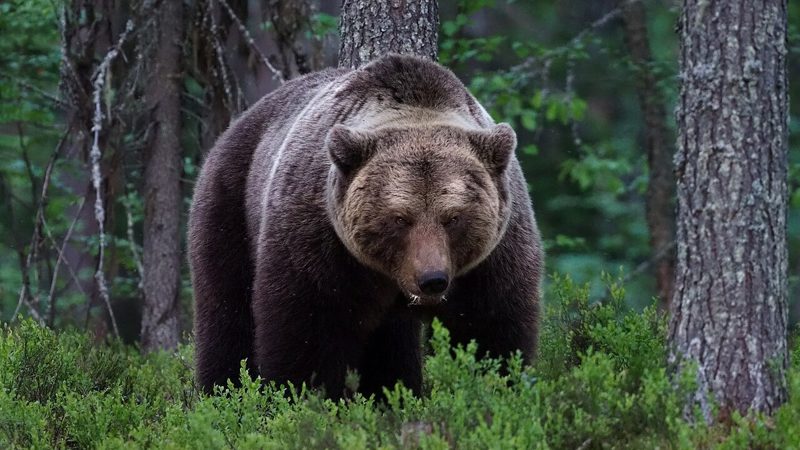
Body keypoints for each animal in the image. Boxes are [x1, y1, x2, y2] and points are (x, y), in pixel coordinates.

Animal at [188, 54, 543, 399]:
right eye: (400, 218)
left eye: (453, 217)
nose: (432, 280)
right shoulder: (320, 240)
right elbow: (307, 328)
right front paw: (299, 395)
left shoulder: (494, 253)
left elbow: (492, 327)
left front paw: (496, 383)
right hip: (230, 202)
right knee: (226, 309)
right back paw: (221, 390)